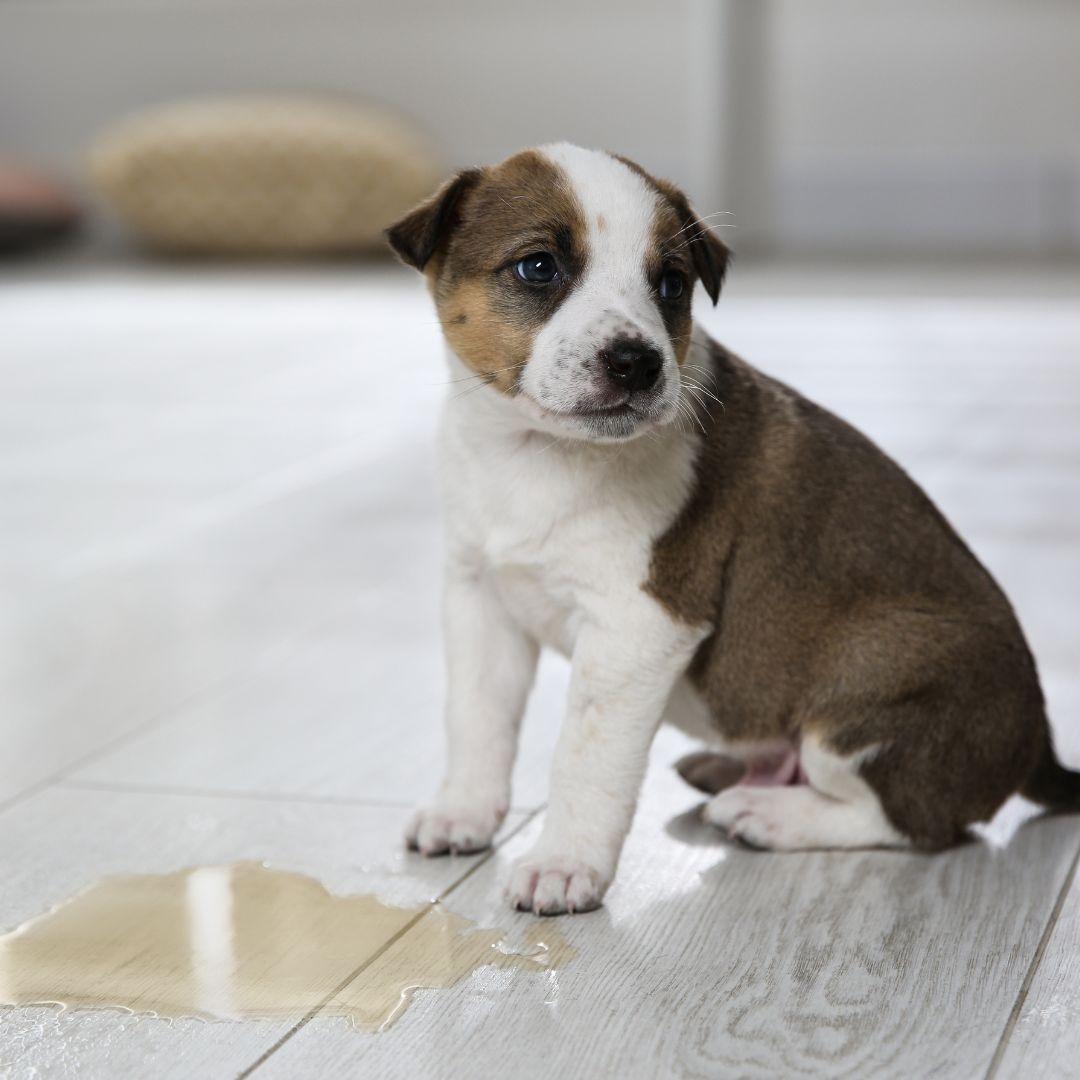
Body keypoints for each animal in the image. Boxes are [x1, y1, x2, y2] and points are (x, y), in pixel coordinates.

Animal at [388, 143, 1080, 915]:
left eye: (670, 283)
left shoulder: (638, 629)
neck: (536, 453)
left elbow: (585, 759)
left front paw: (564, 863)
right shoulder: (481, 599)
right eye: (538, 267)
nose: (638, 361)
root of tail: (1039, 743)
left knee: (915, 821)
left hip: (870, 680)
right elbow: (477, 719)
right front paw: (464, 812)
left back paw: (768, 814)